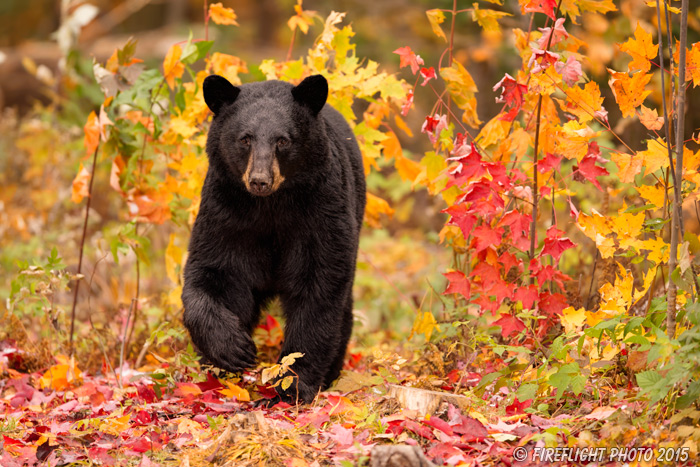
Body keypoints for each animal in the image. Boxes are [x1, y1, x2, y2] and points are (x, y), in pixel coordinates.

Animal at [180, 75, 366, 404]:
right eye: (245, 139)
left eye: (282, 140)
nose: (259, 181)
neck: (270, 207)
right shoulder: (226, 212)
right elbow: (214, 272)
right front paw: (233, 351)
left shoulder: (321, 212)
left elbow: (319, 284)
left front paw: (293, 384)